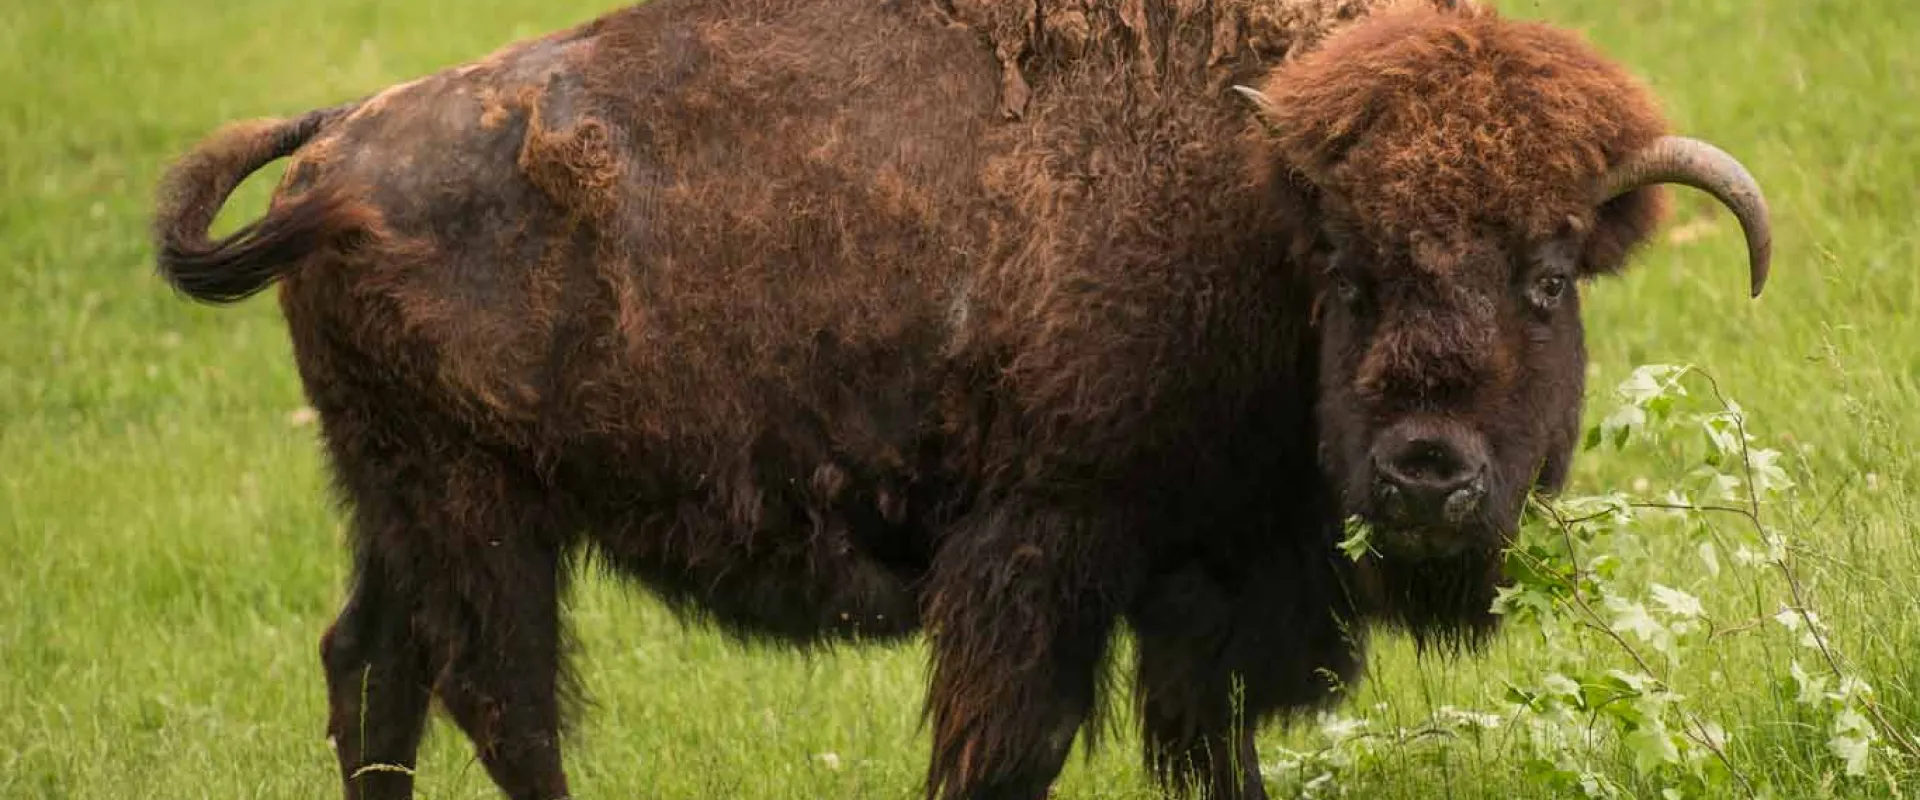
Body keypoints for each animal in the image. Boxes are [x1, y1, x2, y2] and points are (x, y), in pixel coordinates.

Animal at [152, 0, 1771, 798]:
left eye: (1548, 277)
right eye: (1353, 273)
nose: (1427, 474)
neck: (1250, 213)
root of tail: (333, 151)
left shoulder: (1203, 578)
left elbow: (1213, 748)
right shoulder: (1044, 553)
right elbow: (1016, 748)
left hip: (395, 499)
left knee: (374, 668)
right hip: (475, 508)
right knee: (500, 700)